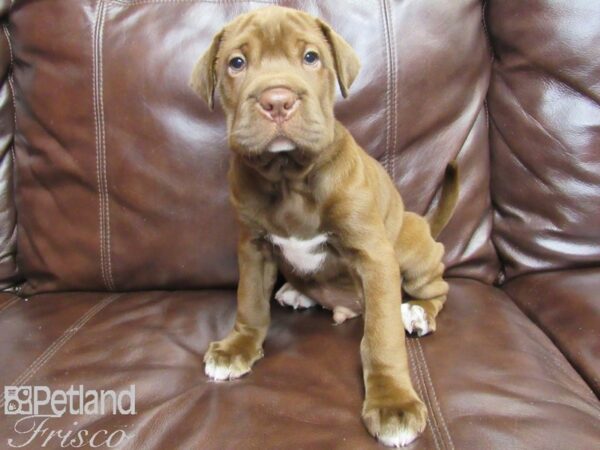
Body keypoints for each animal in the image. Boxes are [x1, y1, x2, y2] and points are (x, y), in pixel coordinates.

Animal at [190, 7, 458, 446]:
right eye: (237, 63)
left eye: (311, 58)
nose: (277, 101)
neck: (288, 177)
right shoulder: (253, 246)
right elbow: (250, 302)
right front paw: (238, 347)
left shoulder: (374, 255)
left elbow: (382, 337)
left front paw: (392, 401)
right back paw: (297, 293)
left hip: (412, 251)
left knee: (436, 289)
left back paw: (418, 314)